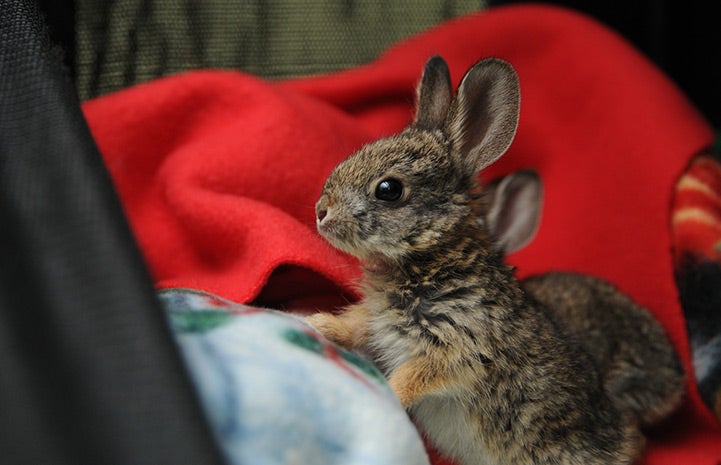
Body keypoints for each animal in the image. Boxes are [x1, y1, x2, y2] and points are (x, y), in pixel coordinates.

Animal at [306, 57, 684, 464]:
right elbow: (353, 326)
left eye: (389, 190)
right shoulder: (378, 324)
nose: (321, 211)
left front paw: (386, 393)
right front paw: (314, 323)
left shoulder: (459, 346)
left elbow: (414, 375)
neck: (431, 258)